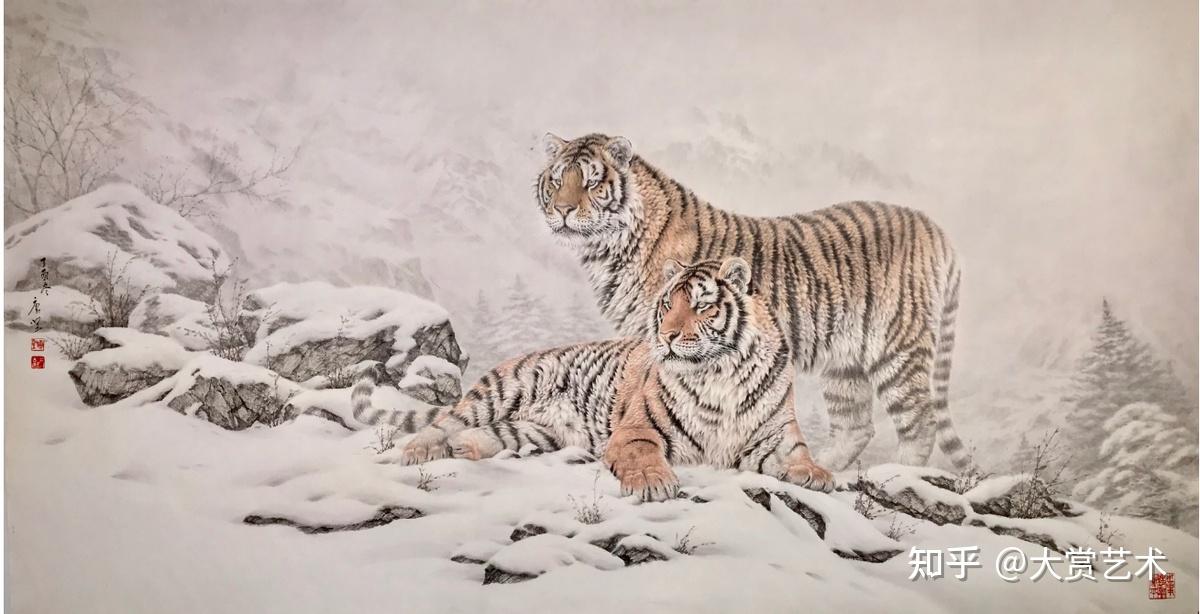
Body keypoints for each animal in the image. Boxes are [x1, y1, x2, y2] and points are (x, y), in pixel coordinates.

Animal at [354, 257, 833, 500]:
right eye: (667, 304)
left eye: (701, 306)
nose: (668, 336)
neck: (718, 374)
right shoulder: (637, 431)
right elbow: (644, 456)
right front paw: (655, 484)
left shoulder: (777, 435)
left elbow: (800, 456)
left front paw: (818, 475)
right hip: (501, 390)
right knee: (439, 423)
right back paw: (420, 452)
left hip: (539, 430)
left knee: (491, 434)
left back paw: (464, 448)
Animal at [535, 132, 971, 472]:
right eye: (555, 182)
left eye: (591, 183)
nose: (563, 210)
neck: (607, 250)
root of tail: (933, 227)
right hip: (844, 360)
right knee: (856, 425)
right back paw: (825, 469)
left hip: (896, 346)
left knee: (920, 423)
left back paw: (897, 475)